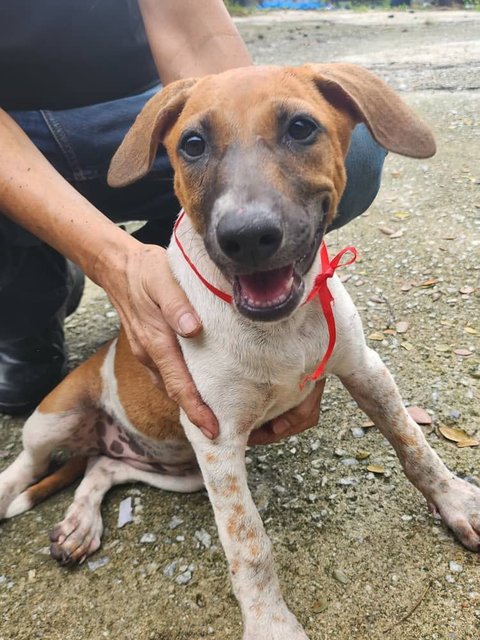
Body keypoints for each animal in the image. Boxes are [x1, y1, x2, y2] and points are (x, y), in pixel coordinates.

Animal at [0, 66, 480, 640]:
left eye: (301, 128)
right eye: (193, 144)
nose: (247, 237)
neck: (280, 328)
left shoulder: (366, 369)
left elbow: (414, 445)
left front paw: (456, 501)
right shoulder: (216, 438)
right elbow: (248, 543)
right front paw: (271, 625)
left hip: (177, 471)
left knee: (101, 467)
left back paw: (79, 522)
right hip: (57, 418)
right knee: (27, 467)